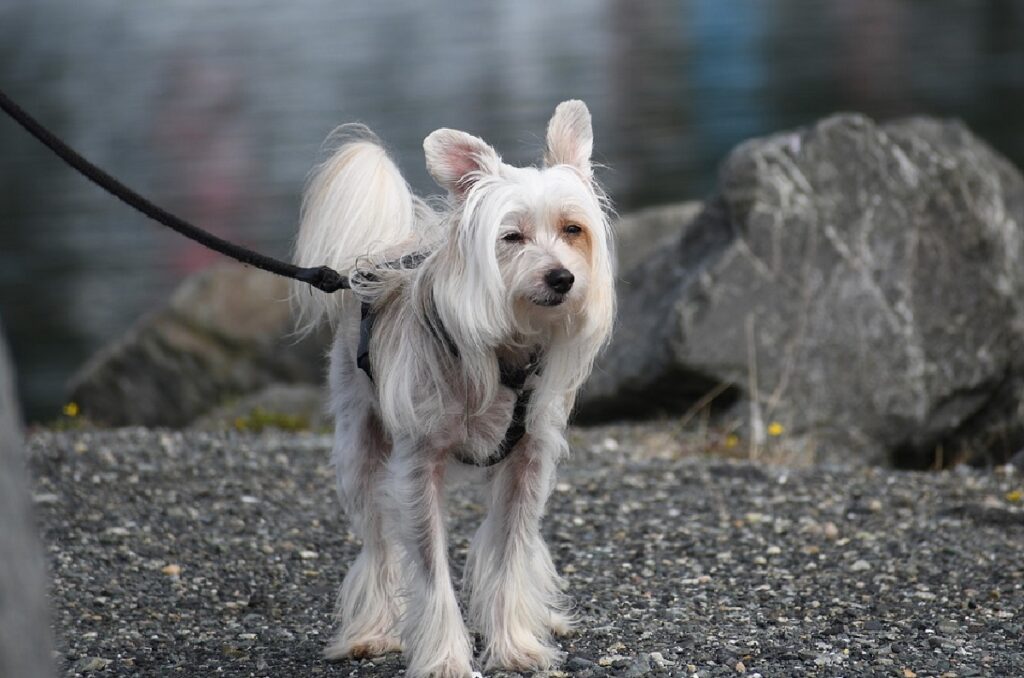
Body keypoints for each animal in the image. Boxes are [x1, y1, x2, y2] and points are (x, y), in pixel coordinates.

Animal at [294, 100, 614, 678]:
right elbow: (430, 572)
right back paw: (372, 630)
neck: (507, 353)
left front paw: (515, 644)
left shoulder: (528, 463)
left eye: (573, 229)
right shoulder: (418, 468)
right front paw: (445, 657)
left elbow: (510, 555)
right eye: (511, 238)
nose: (562, 278)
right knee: (378, 546)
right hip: (358, 448)